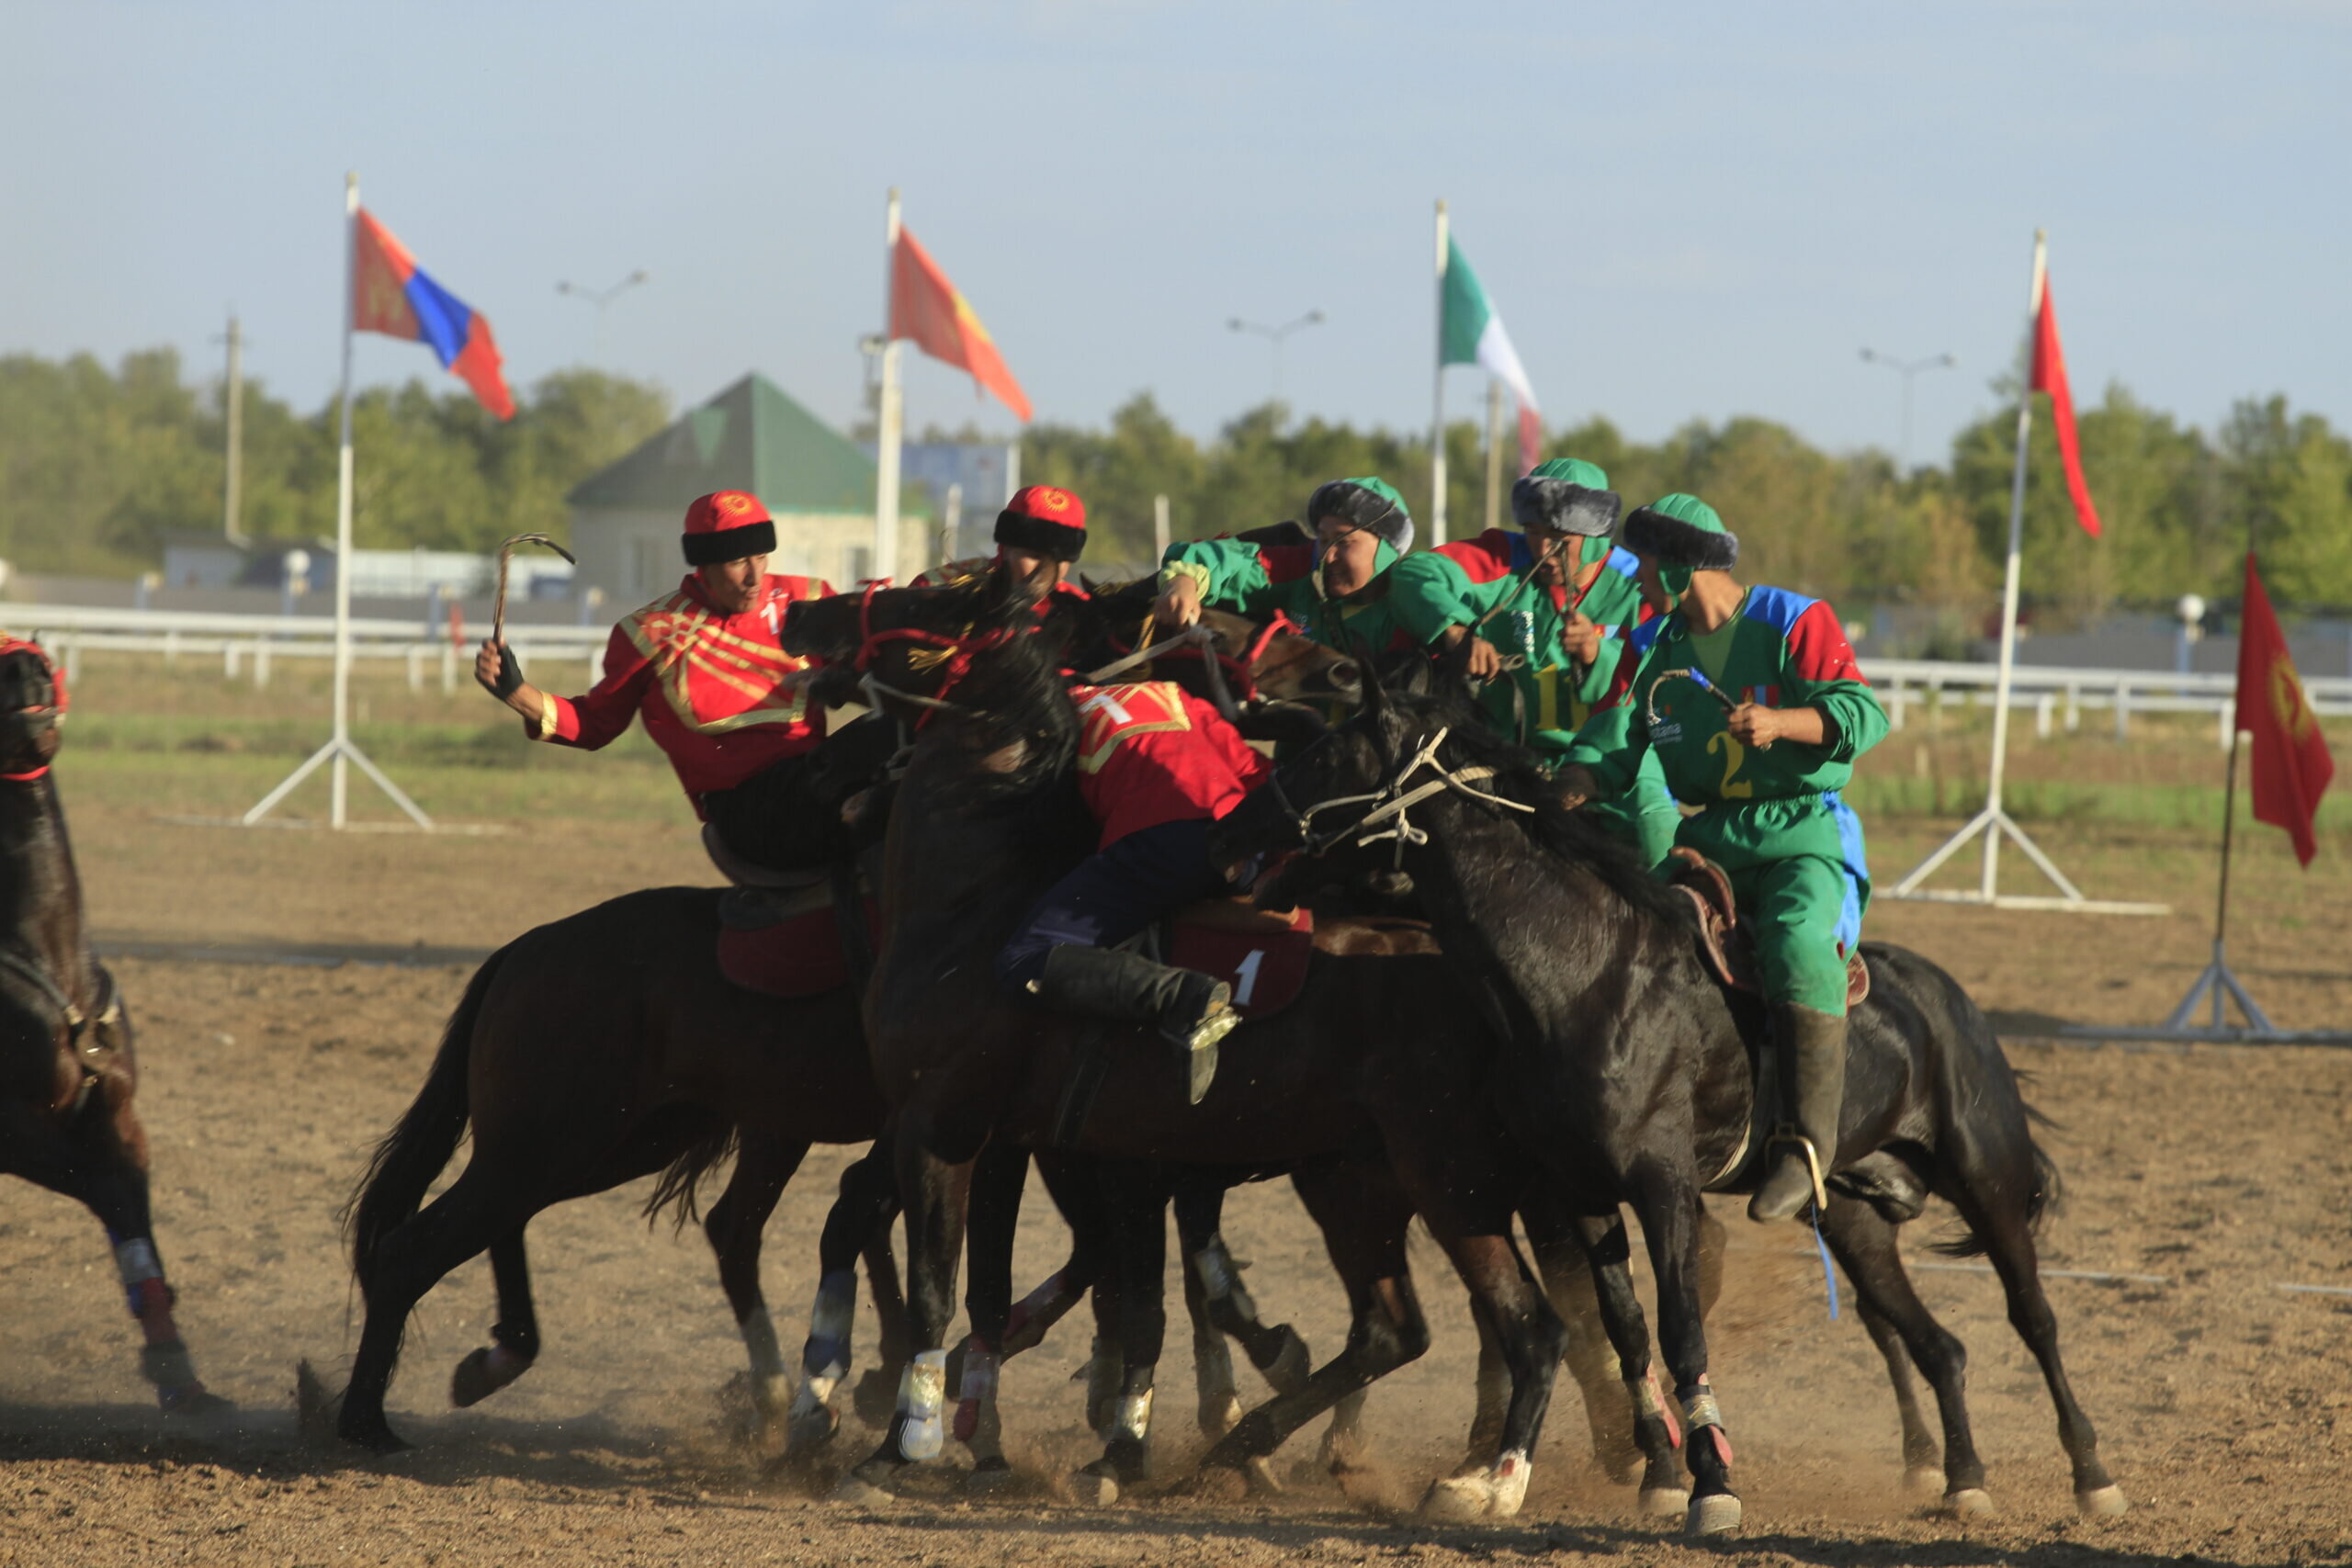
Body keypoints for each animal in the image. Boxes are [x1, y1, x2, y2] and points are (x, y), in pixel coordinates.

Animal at [0, 639, 228, 1419]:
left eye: (40, 663)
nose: (28, 688)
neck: (49, 957)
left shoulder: (118, 1120)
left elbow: (136, 1230)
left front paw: (181, 1376)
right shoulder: (24, 1132)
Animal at [780, 582, 1665, 1514]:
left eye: (914, 601)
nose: (801, 622)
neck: (973, 908)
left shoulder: (948, 1126)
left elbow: (946, 1286)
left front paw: (900, 1449)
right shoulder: (1074, 1152)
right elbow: (1086, 1295)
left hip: (1448, 1176)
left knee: (1537, 1321)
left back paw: (1499, 1480)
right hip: (1359, 1179)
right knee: (1405, 1327)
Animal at [1213, 677, 2135, 1532]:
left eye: (1328, 753)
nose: (1231, 831)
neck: (1580, 975)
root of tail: (1950, 1001)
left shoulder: (1665, 1188)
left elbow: (1681, 1328)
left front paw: (1712, 1482)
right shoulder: (1580, 1190)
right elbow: (1624, 1328)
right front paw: (1656, 1473)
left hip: (1988, 1181)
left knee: (2034, 1315)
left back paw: (2091, 1472)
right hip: (1856, 1220)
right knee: (1940, 1344)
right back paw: (1965, 1477)